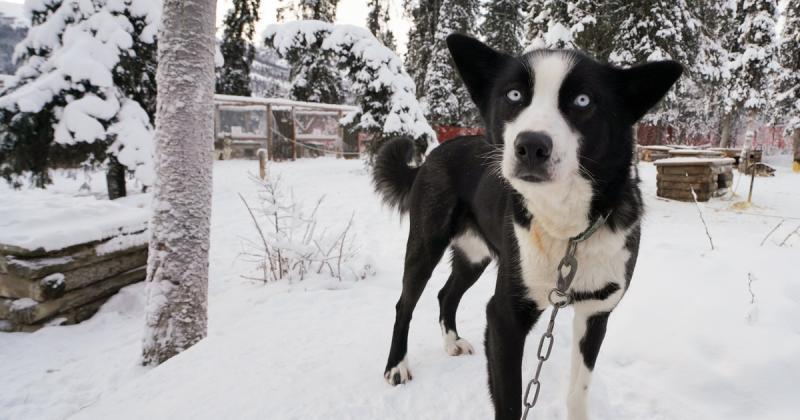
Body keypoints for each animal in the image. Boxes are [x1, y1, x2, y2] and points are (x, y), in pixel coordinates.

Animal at [374, 34, 680, 418]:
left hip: (475, 256)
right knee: (405, 304)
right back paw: (395, 366)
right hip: (426, 244)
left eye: (583, 100)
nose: (531, 145)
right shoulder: (505, 317)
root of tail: (435, 153)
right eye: (514, 95)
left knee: (447, 294)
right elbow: (509, 401)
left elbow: (578, 392)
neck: (567, 230)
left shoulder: (595, 313)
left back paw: (452, 341)